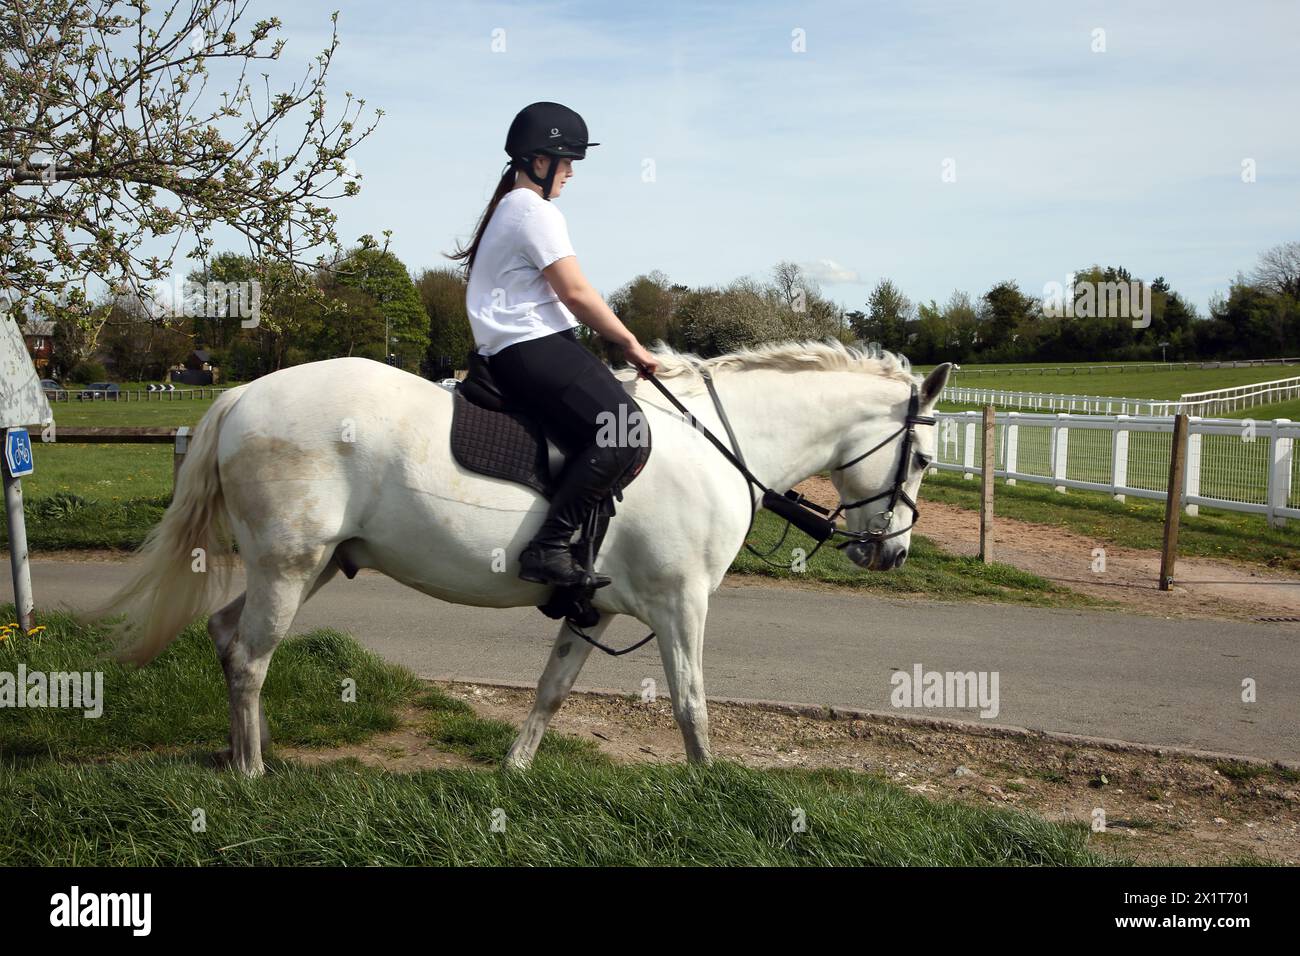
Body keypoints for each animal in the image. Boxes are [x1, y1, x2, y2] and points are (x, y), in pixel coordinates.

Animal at [82, 339, 951, 776]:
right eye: (919, 461)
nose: (893, 553)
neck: (715, 444)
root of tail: (242, 396)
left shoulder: (598, 608)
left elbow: (550, 693)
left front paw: (515, 773)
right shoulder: (682, 604)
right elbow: (691, 705)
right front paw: (709, 789)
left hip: (312, 566)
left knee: (226, 636)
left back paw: (238, 760)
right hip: (290, 569)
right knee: (251, 658)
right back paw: (255, 775)